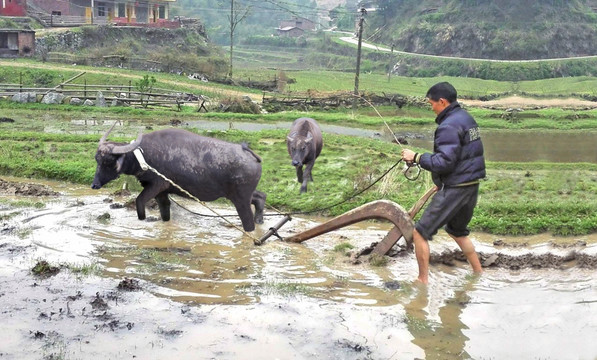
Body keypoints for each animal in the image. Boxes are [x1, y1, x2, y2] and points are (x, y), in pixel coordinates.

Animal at [91, 125, 266, 232]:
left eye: (108, 161)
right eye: (97, 159)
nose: (94, 185)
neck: (143, 155)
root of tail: (248, 153)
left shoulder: (156, 186)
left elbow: (139, 202)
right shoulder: (161, 192)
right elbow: (165, 212)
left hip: (240, 199)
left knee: (248, 222)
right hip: (241, 195)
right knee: (260, 196)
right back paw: (260, 219)